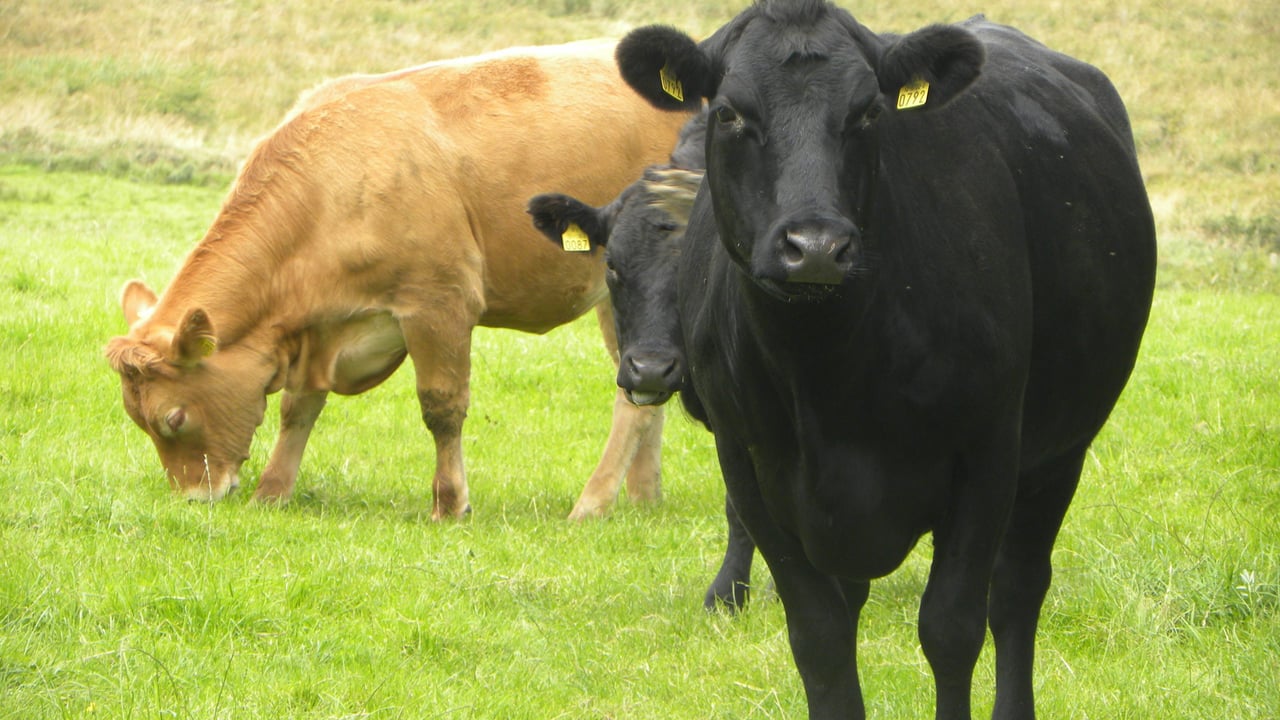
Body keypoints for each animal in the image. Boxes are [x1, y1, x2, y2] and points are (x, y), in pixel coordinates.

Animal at [104, 40, 693, 520]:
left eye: (174, 417)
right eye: (139, 420)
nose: (194, 497)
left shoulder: (439, 301)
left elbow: (442, 406)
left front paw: (450, 504)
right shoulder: (318, 331)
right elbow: (298, 409)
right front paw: (272, 491)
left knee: (631, 399)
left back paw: (592, 502)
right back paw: (642, 497)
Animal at [612, 2, 1157, 718]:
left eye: (870, 112)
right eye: (729, 113)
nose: (815, 246)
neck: (827, 371)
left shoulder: (988, 454)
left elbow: (952, 627)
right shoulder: (750, 464)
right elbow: (819, 639)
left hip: (1059, 451)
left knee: (1016, 593)